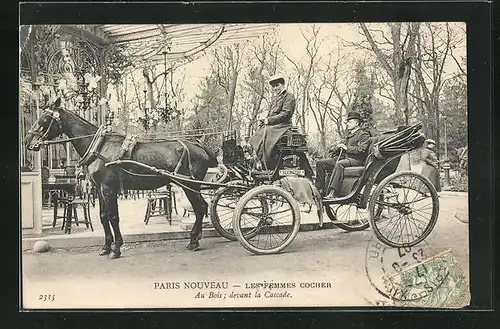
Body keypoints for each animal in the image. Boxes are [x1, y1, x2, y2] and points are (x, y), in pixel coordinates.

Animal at [23, 97, 219, 258]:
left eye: (44, 119)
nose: (27, 141)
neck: (99, 146)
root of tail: (198, 146)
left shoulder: (109, 189)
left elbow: (113, 217)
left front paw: (116, 248)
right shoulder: (100, 190)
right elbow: (103, 217)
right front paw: (106, 247)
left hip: (189, 185)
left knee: (200, 208)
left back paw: (193, 241)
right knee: (202, 207)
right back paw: (195, 238)